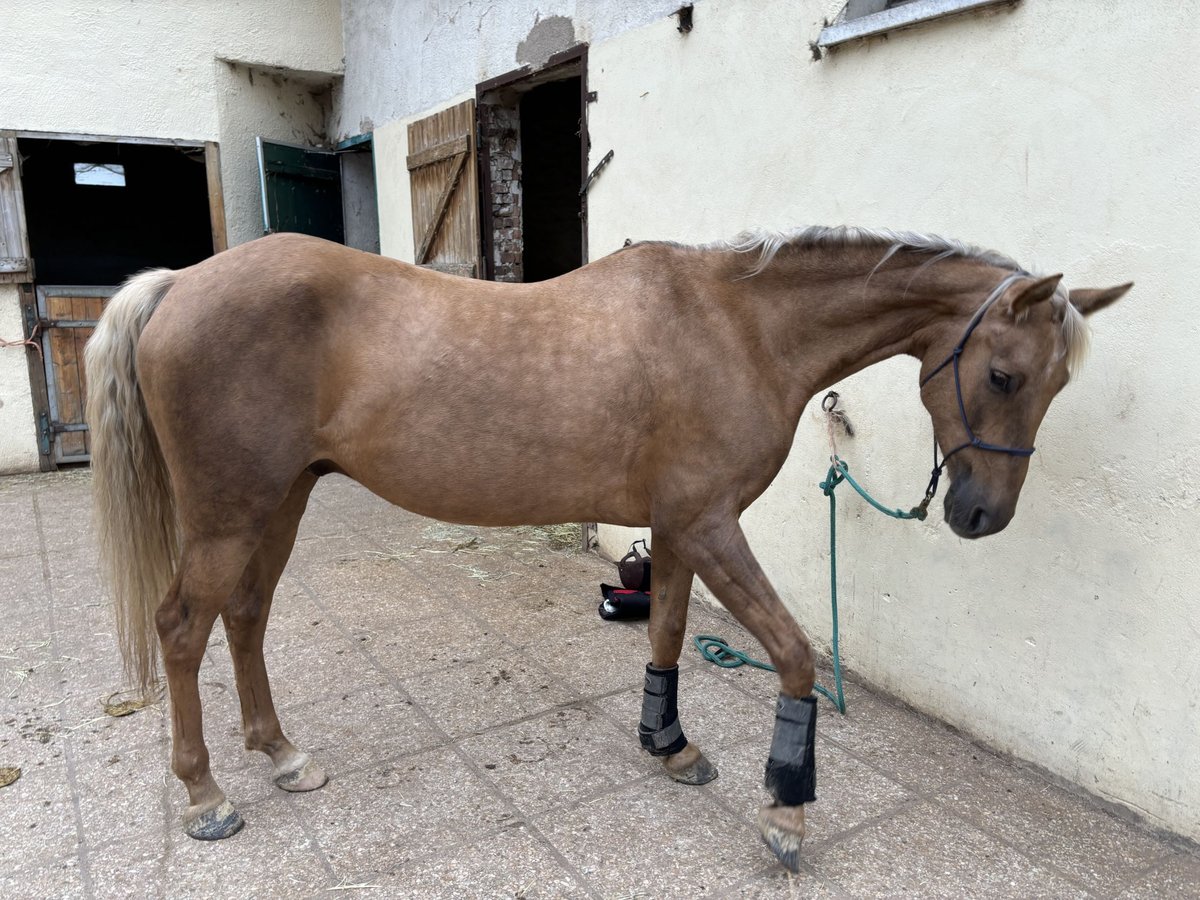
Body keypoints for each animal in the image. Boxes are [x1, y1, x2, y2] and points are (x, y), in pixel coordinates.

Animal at [84, 226, 1123, 873]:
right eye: (1004, 373)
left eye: (1057, 384)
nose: (983, 516)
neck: (737, 327)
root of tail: (179, 285)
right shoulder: (709, 525)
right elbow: (795, 655)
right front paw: (785, 810)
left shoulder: (676, 530)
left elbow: (664, 635)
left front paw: (670, 746)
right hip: (232, 513)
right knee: (184, 628)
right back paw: (207, 794)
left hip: (282, 500)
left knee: (246, 615)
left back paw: (281, 753)